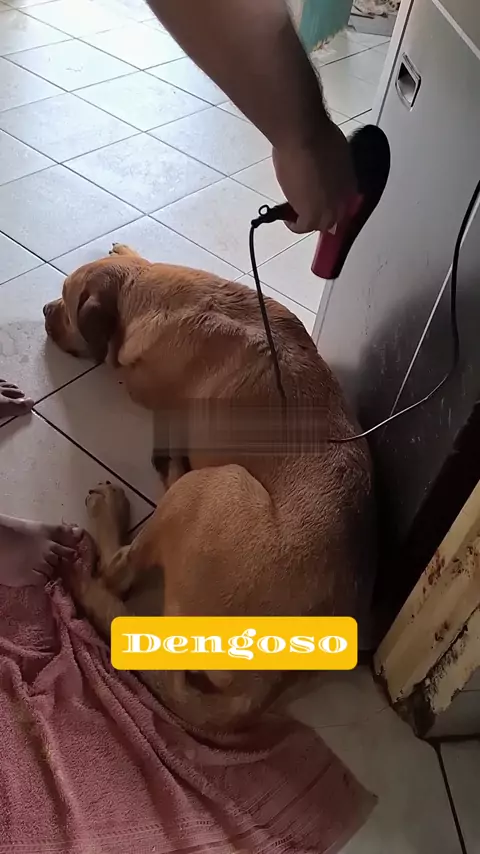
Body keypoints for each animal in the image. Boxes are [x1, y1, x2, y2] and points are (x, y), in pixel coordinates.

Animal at [44, 243, 376, 731]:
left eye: (66, 305)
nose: (44, 310)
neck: (148, 293)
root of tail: (262, 687)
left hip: (214, 485)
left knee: (117, 573)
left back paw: (117, 506)